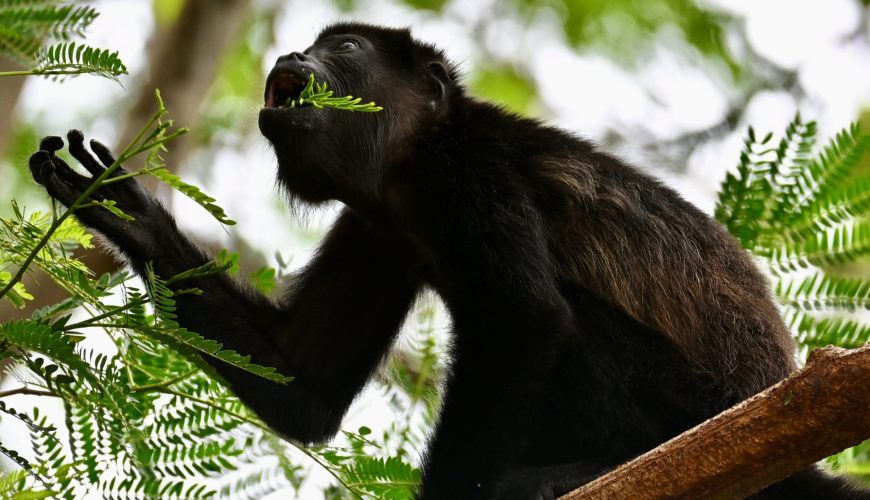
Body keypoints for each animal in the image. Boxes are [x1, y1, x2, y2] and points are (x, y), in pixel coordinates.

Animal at [29, 22, 869, 499]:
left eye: (344, 48)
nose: (294, 52)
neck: (403, 174)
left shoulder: (463, 170)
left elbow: (526, 321)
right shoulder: (376, 228)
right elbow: (305, 386)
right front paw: (123, 214)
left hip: (686, 402)